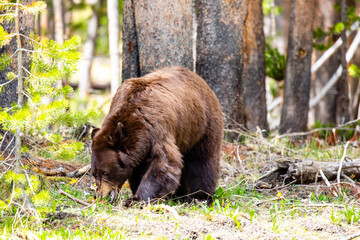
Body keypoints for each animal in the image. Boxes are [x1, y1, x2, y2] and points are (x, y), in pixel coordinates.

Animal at [90, 66, 222, 204]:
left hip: (202, 125)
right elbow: (138, 170)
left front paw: (137, 199)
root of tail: (200, 79)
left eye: (105, 172)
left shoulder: (156, 129)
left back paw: (201, 196)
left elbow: (163, 164)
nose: (99, 195)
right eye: (94, 173)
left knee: (203, 160)